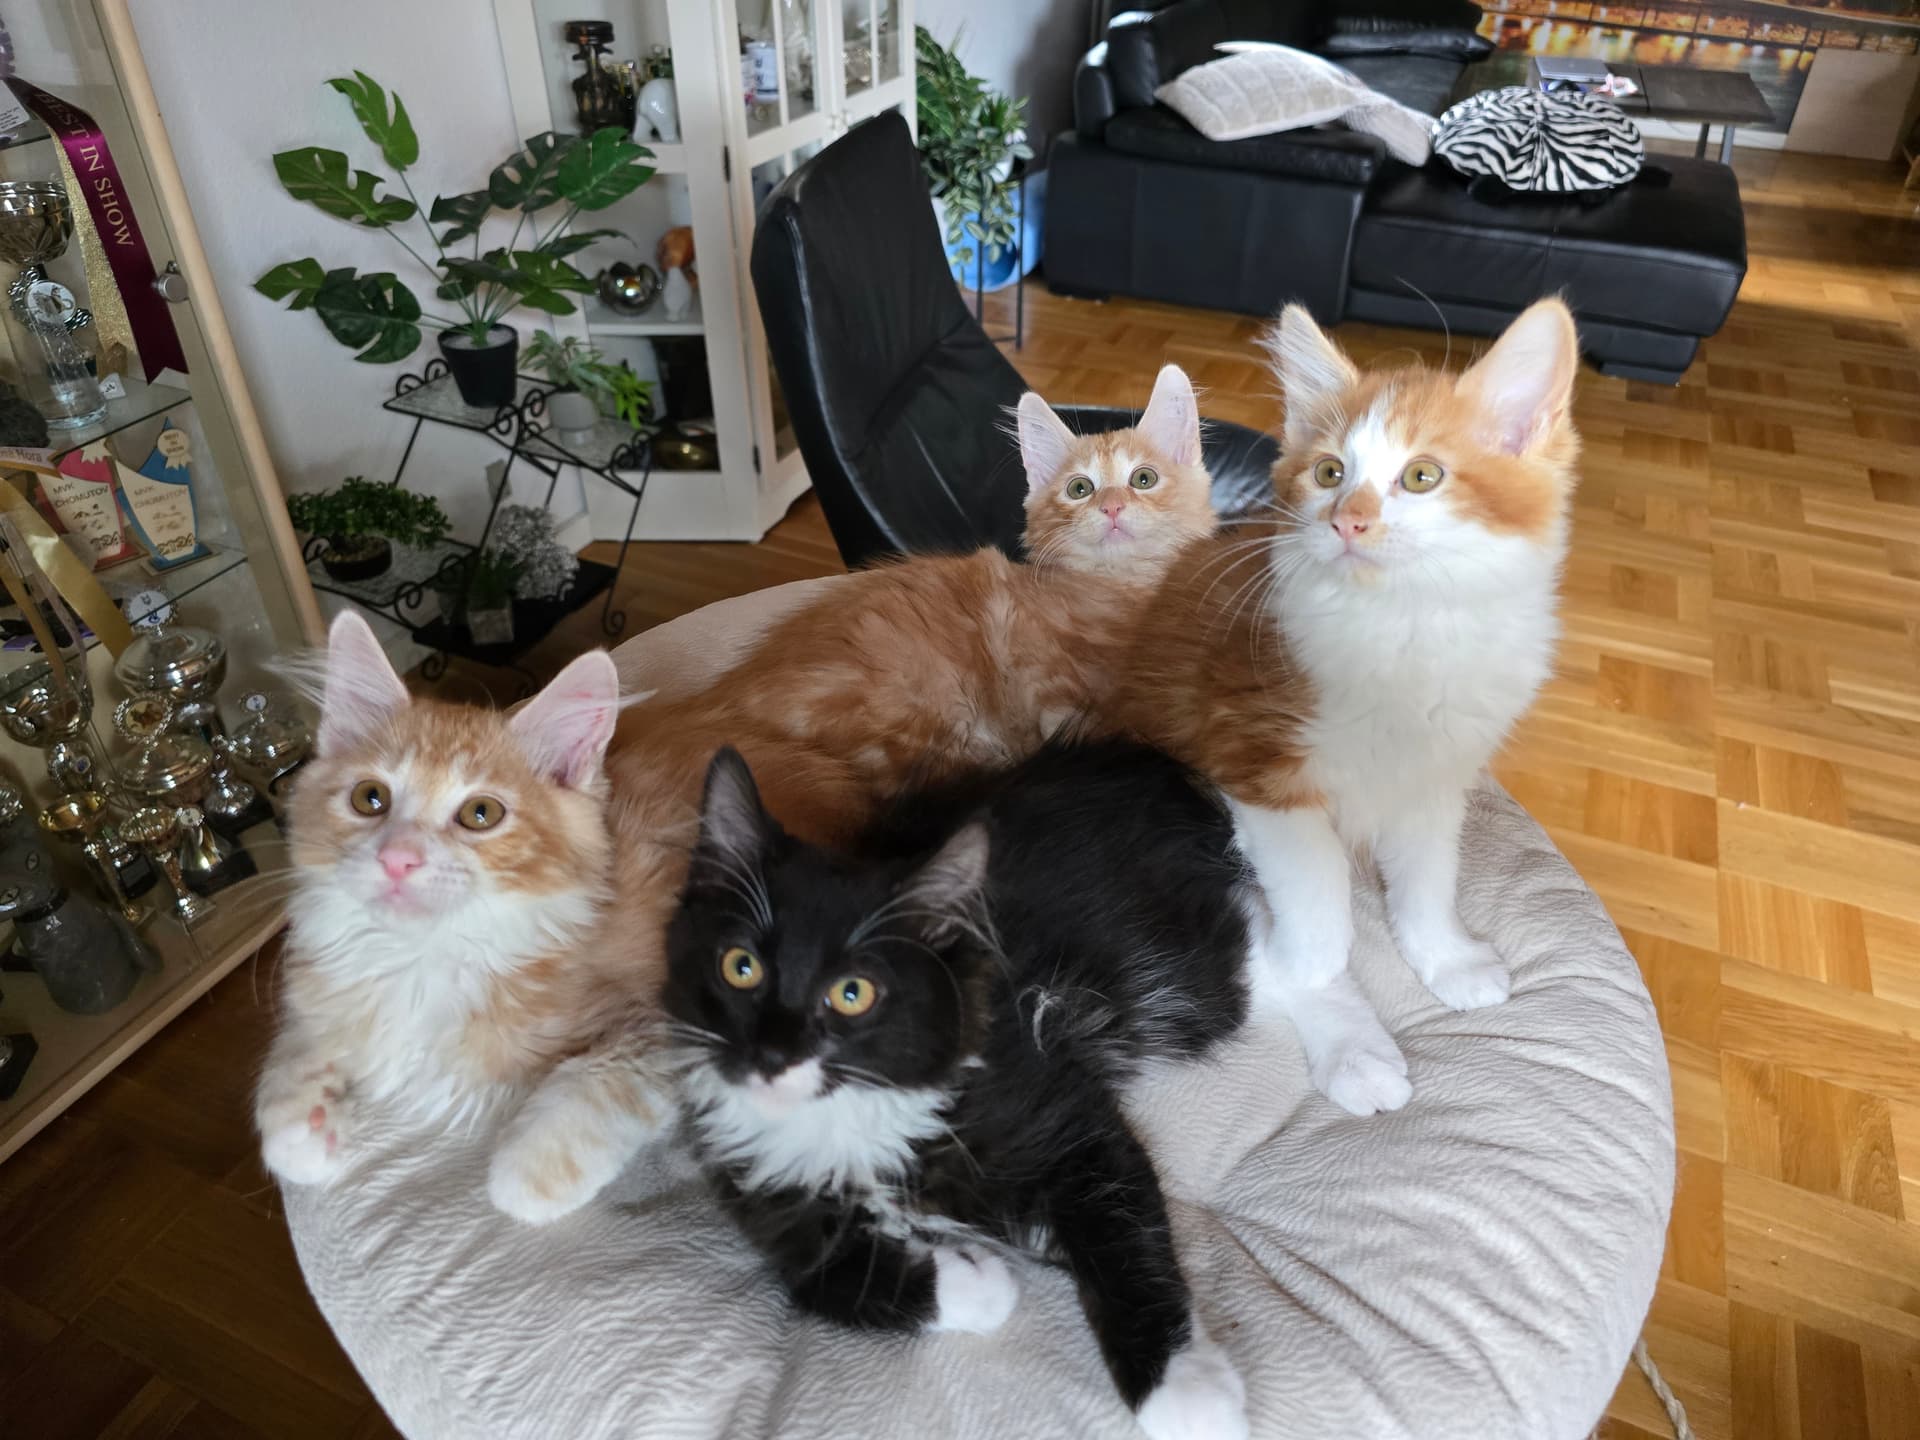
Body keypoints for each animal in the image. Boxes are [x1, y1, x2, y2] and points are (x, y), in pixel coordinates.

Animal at [665, 739, 1256, 1440]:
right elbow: (831, 1282)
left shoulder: (1061, 1110)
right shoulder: (768, 1201)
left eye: (853, 993)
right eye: (741, 967)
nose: (773, 1055)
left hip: (1189, 974)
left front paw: (1183, 1390)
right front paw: (978, 1279)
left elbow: (1124, 1238)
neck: (850, 1116)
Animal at [1109, 299, 1580, 1117]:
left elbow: (1428, 873)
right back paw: (1351, 1048)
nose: (1347, 520)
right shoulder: (1253, 763)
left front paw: (1445, 956)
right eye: (1330, 474)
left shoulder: (1436, 776)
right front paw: (1314, 963)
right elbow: (1315, 881)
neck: (1405, 623)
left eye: (1422, 476)